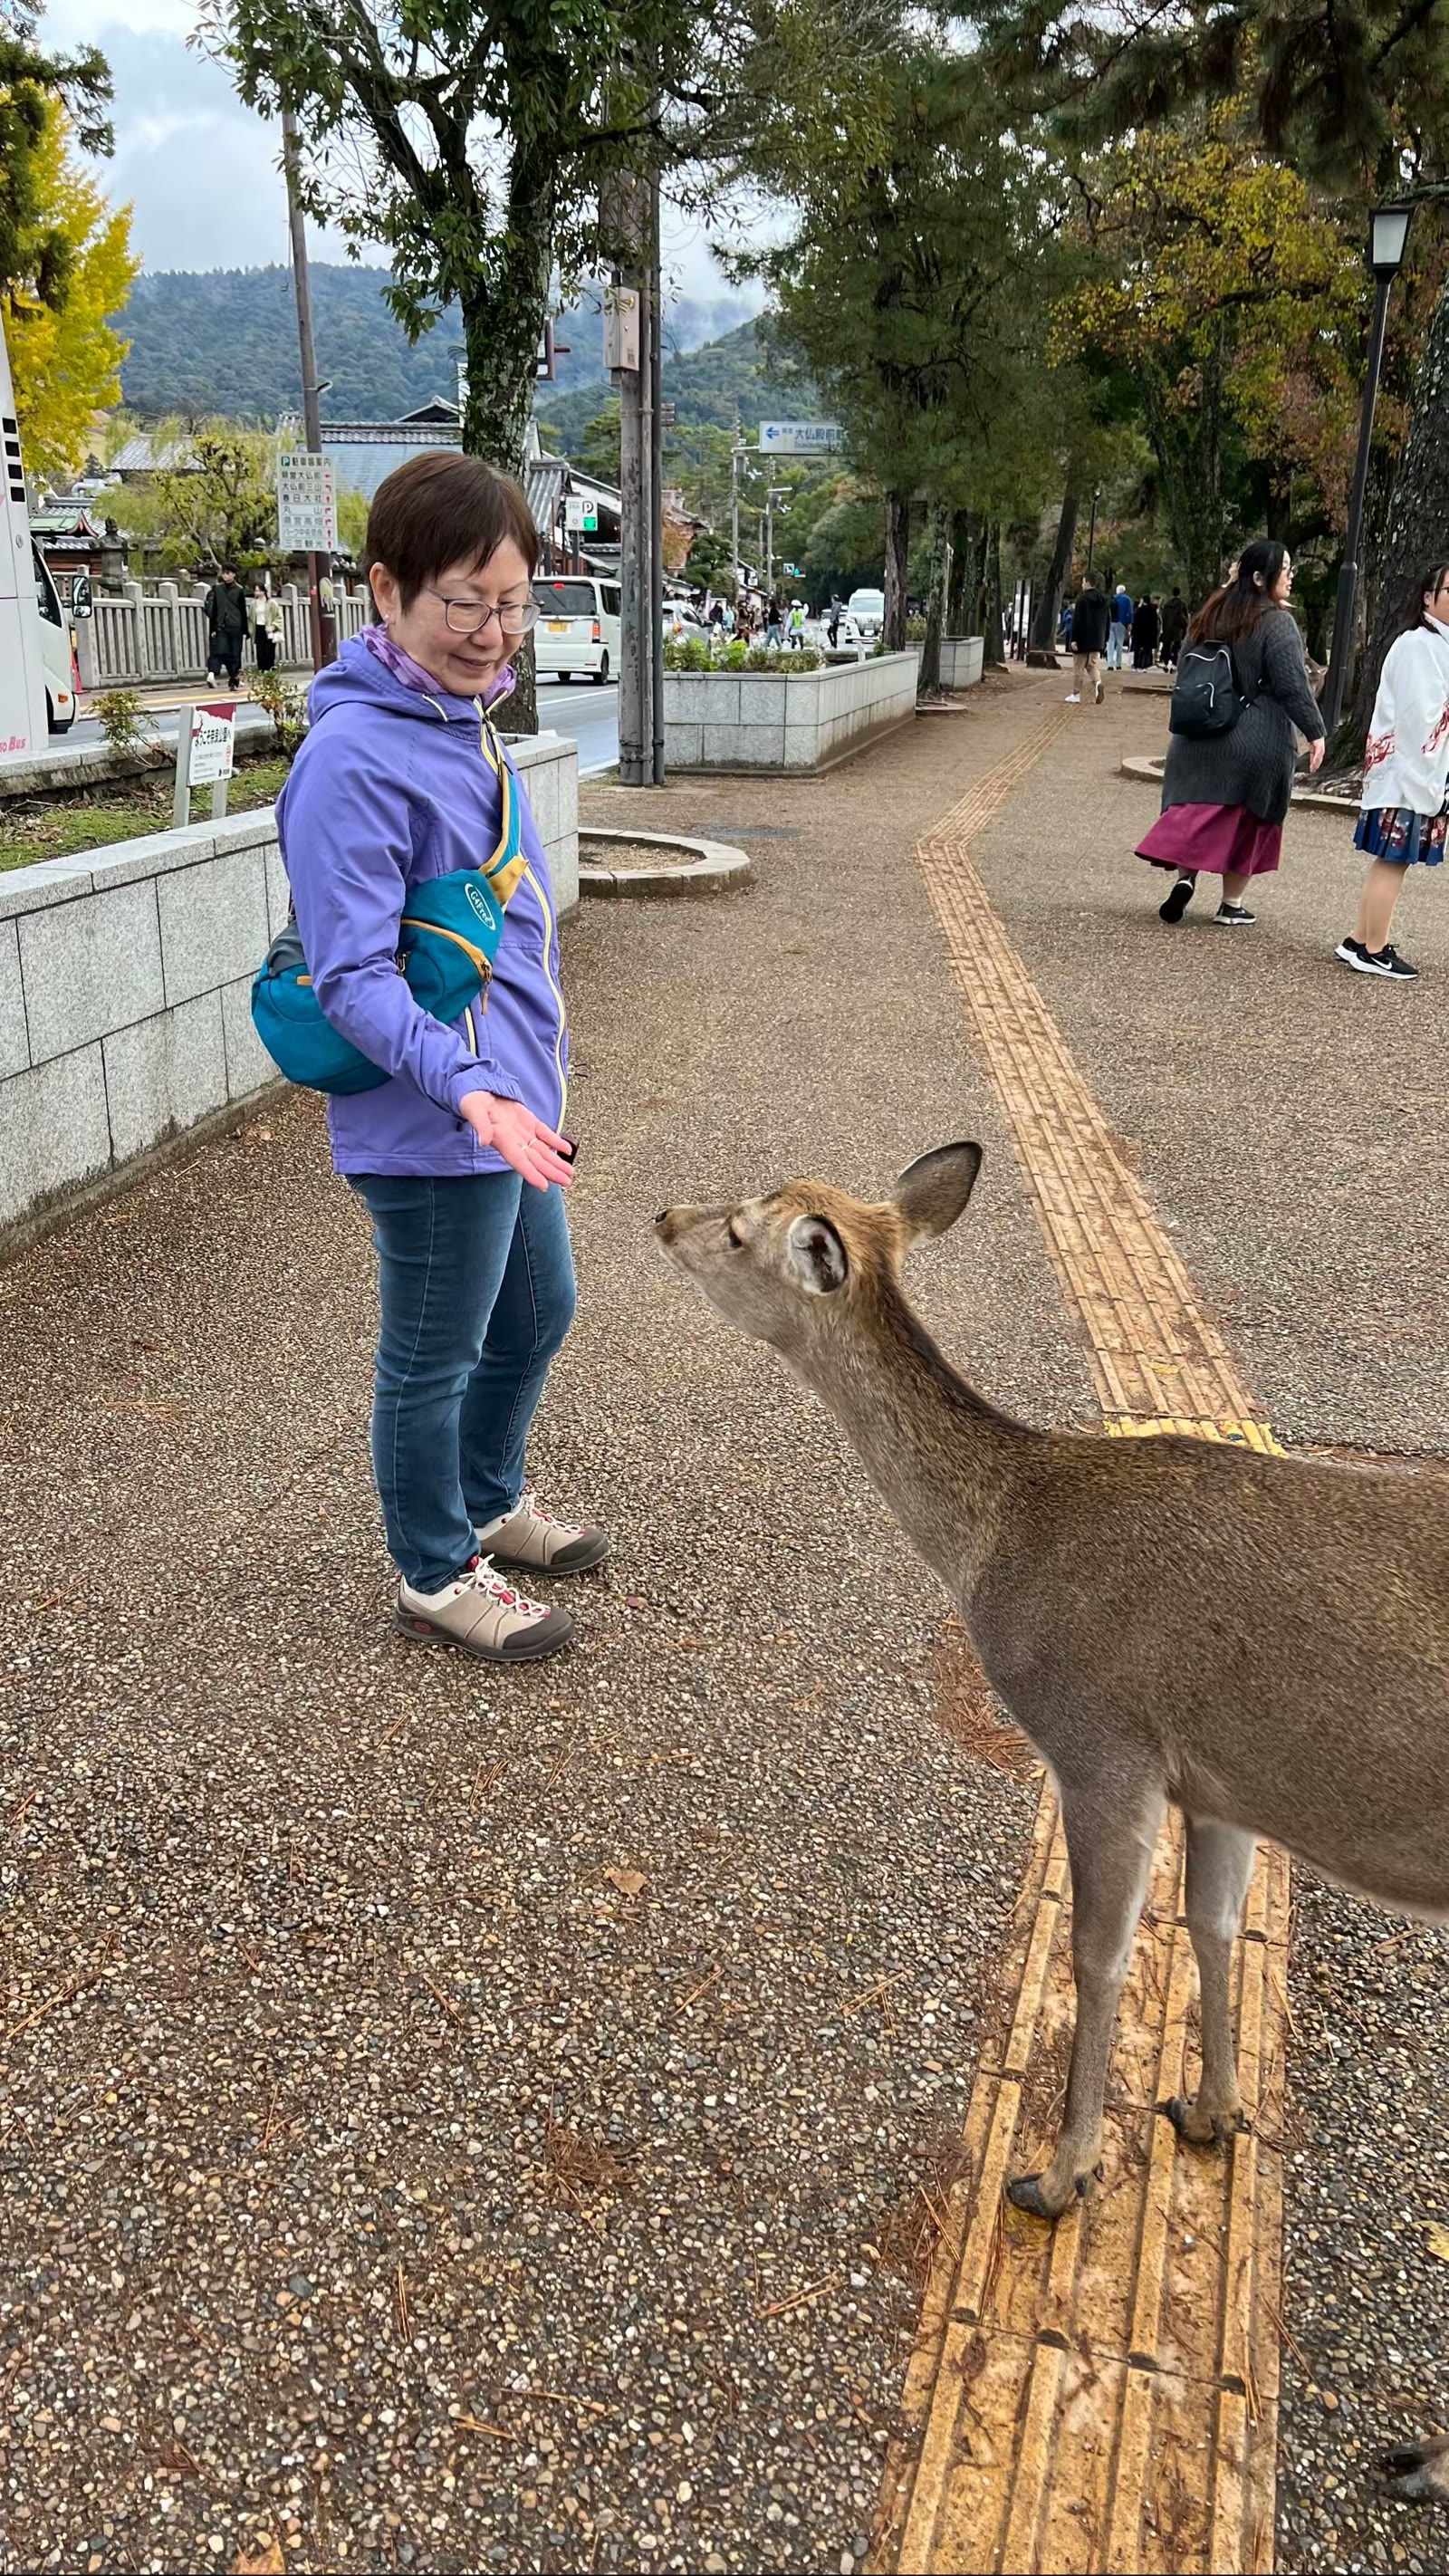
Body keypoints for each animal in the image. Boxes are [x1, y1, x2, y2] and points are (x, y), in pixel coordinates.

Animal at [656, 1142, 1449, 2506]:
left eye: (744, 1228)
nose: (659, 1216)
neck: (1001, 1541)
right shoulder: (1220, 1783)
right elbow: (1214, 1926)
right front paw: (1210, 2112)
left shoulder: (1098, 1740)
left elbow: (1099, 1954)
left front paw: (1061, 2175)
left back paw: (1425, 2462)